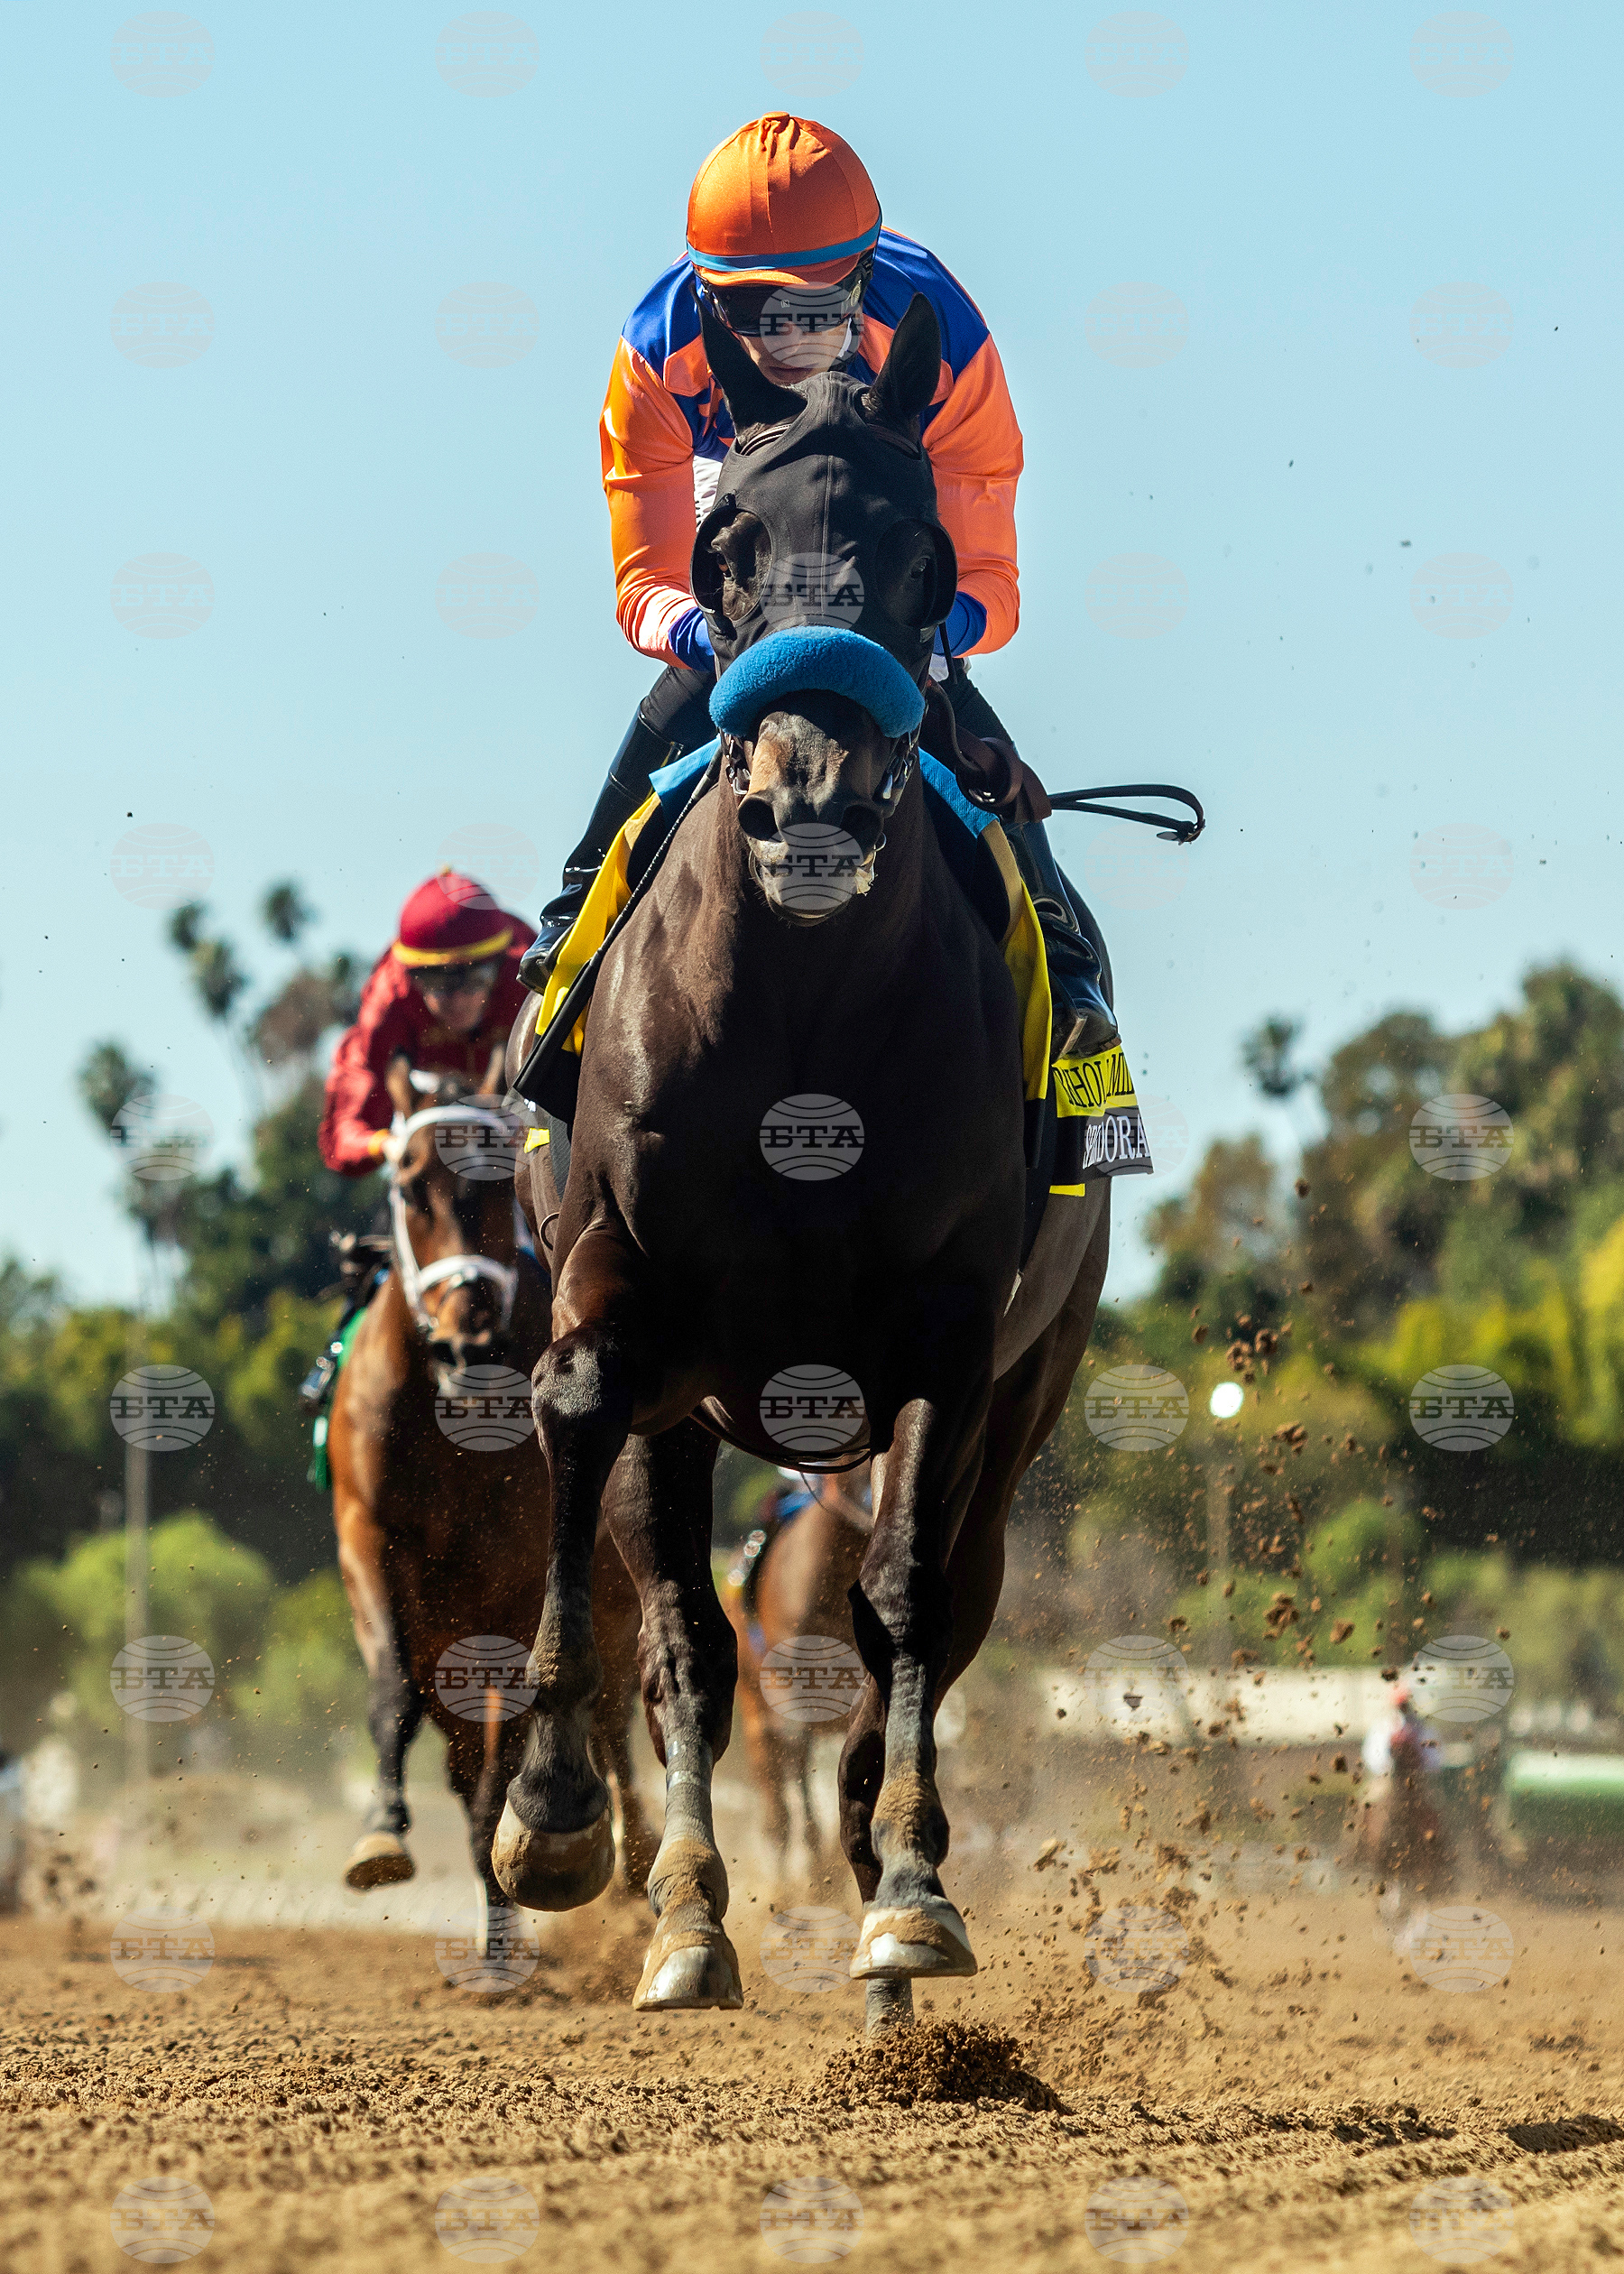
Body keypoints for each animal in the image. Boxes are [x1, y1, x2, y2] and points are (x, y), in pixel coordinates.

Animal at [327, 1055, 657, 1933]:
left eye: (499, 1183)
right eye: (411, 1186)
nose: (468, 1336)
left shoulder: (516, 1577)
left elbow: (505, 1769)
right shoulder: (367, 1537)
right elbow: (390, 1689)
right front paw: (380, 1834)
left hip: (610, 1601)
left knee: (609, 1720)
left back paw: (631, 1856)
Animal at [496, 292, 1113, 2033]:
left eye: (919, 551)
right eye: (724, 548)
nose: (809, 800)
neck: (804, 1033)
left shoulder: (951, 1342)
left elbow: (898, 1599)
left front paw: (906, 1893)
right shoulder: (629, 1303)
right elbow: (603, 1464)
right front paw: (569, 1830)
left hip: (1031, 1389)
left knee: (939, 1601)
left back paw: (879, 1862)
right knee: (693, 1638)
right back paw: (688, 1898)